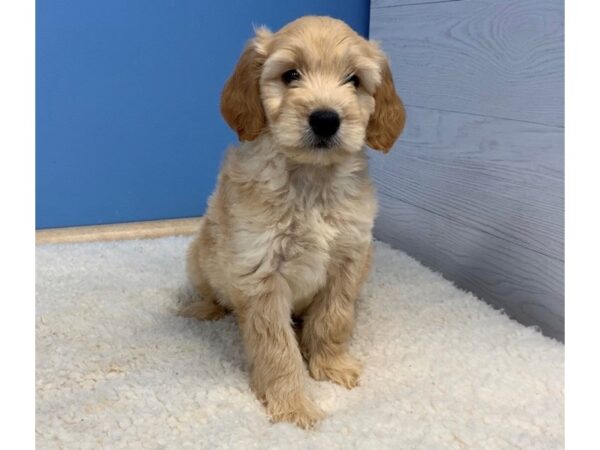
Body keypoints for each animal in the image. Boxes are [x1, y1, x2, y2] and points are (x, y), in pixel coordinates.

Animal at [183, 14, 406, 428]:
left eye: (353, 79)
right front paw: (293, 404)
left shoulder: (348, 260)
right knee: (213, 295)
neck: (310, 181)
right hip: (198, 259)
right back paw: (204, 310)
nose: (325, 119)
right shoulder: (262, 274)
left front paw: (331, 365)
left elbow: (334, 319)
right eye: (290, 75)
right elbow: (277, 349)